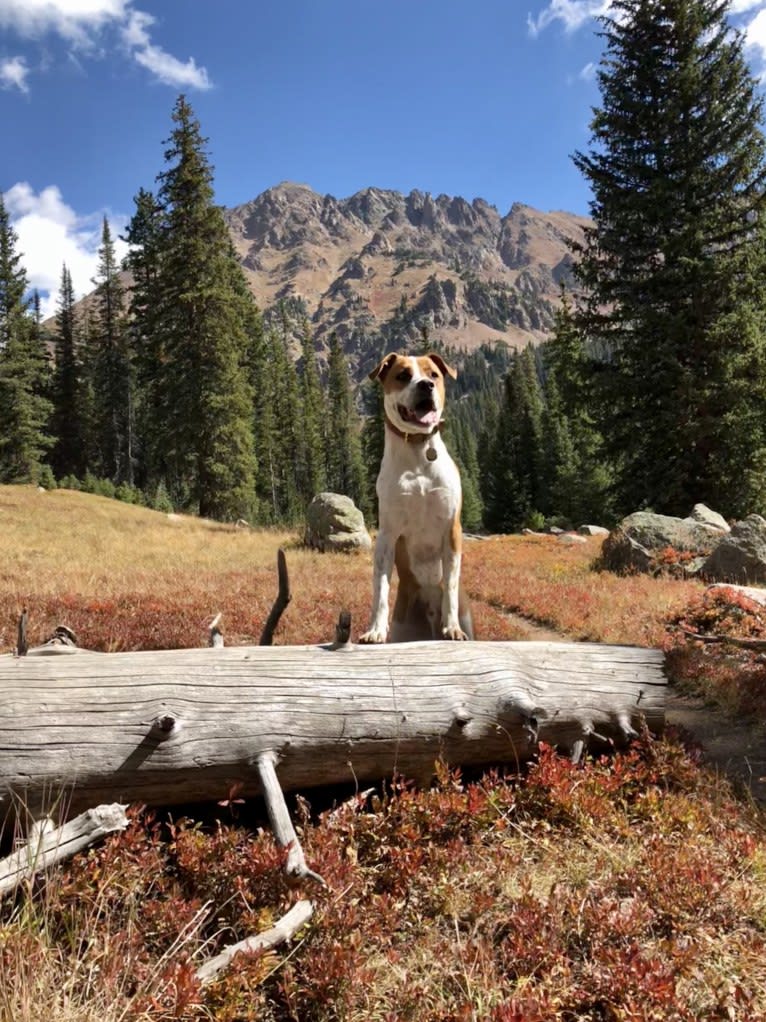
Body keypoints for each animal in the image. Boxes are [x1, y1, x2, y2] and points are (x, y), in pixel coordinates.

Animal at [359, 351, 473, 637]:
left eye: (434, 374)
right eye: (403, 375)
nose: (426, 385)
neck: (419, 452)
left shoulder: (451, 529)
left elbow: (451, 585)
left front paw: (452, 627)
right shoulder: (387, 533)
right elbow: (380, 586)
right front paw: (375, 630)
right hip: (403, 625)